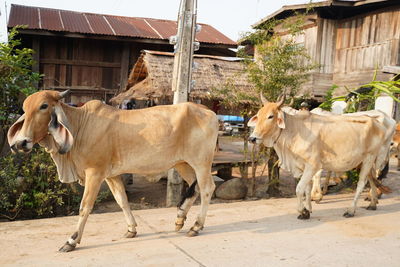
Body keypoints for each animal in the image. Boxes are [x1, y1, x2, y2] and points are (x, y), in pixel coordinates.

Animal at [7, 90, 219, 253]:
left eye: (43, 106)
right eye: (24, 109)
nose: (21, 143)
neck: (81, 125)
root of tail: (207, 110)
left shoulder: (94, 173)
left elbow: (85, 206)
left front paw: (71, 241)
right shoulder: (111, 175)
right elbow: (122, 200)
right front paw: (131, 229)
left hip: (201, 162)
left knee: (207, 188)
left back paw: (196, 226)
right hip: (182, 163)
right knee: (195, 187)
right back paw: (180, 218)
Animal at [248, 93, 386, 221]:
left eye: (270, 116)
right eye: (258, 115)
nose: (252, 138)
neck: (294, 131)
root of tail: (376, 122)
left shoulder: (312, 165)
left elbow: (299, 189)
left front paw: (302, 211)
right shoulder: (303, 166)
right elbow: (307, 189)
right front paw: (308, 210)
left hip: (370, 157)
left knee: (362, 182)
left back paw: (351, 210)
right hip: (362, 161)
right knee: (371, 179)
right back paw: (373, 203)